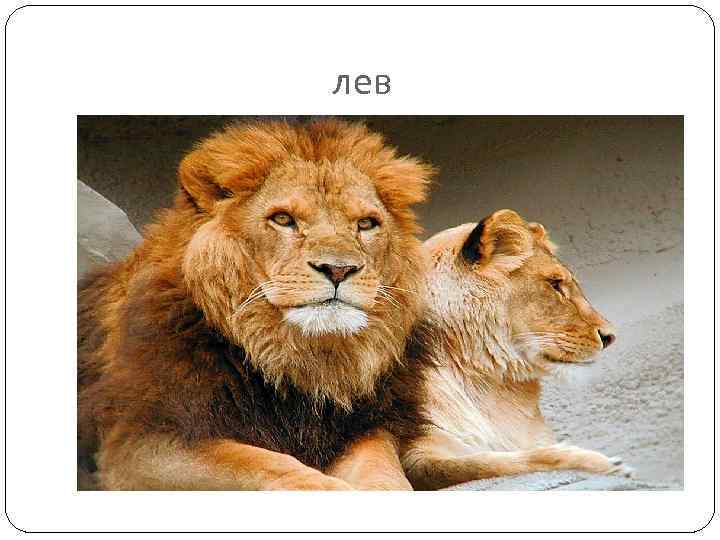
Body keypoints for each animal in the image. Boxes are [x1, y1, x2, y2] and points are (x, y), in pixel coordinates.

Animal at [77, 120, 436, 490]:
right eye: (283, 219)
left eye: (366, 224)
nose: (338, 269)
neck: (301, 362)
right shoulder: (141, 441)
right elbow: (267, 463)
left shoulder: (366, 428)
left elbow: (382, 471)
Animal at [401, 209, 632, 490]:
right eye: (555, 284)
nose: (610, 336)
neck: (489, 386)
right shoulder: (416, 456)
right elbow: (491, 463)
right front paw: (604, 463)